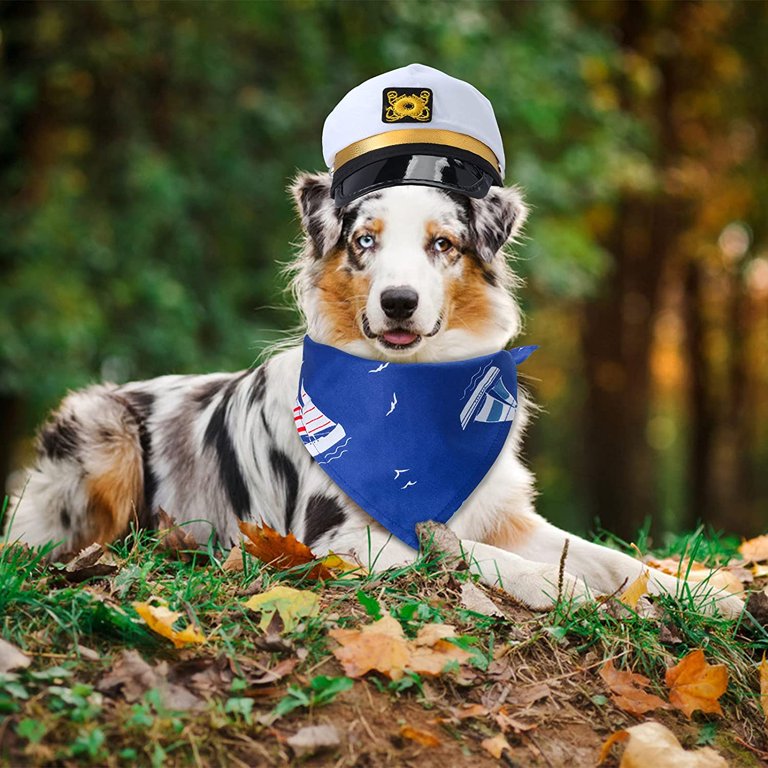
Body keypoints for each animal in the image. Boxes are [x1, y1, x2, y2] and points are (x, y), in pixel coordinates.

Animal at [6, 176, 744, 616]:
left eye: (443, 245)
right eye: (364, 242)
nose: (399, 301)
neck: (413, 387)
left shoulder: (504, 512)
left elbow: (606, 555)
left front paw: (701, 591)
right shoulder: (331, 538)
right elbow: (468, 553)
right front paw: (553, 587)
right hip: (102, 430)